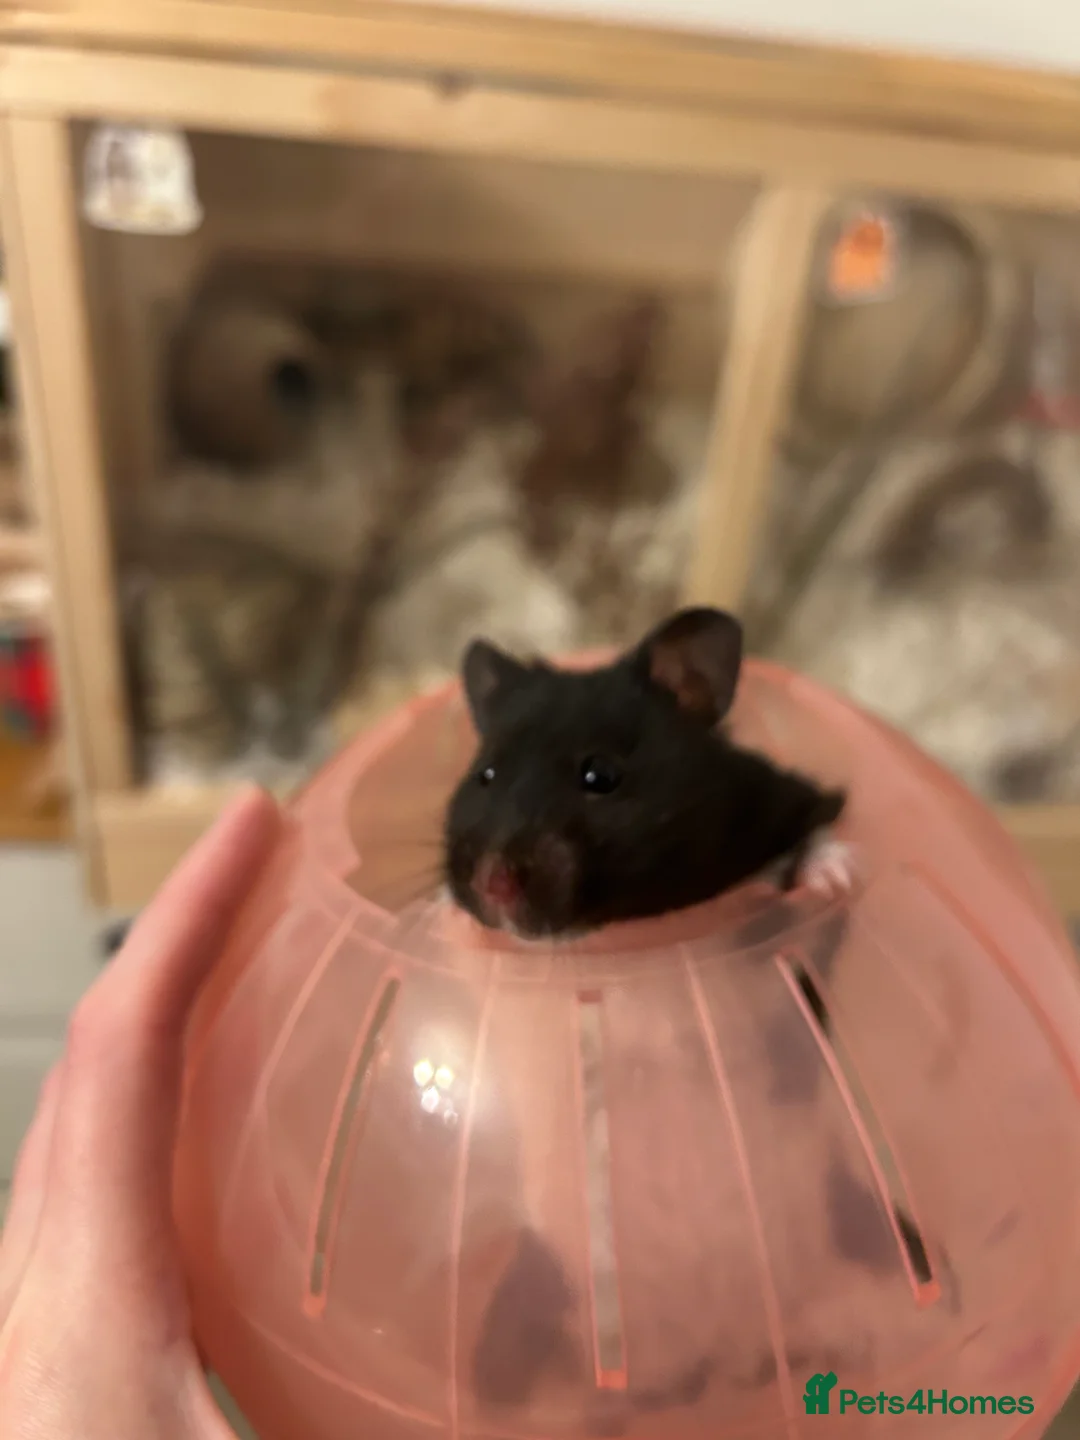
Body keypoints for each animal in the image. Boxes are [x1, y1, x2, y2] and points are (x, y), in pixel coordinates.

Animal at [444, 606, 851, 940]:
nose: (491, 885)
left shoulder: (789, 797)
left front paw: (836, 879)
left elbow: (815, 831)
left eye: (601, 775)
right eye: (485, 775)